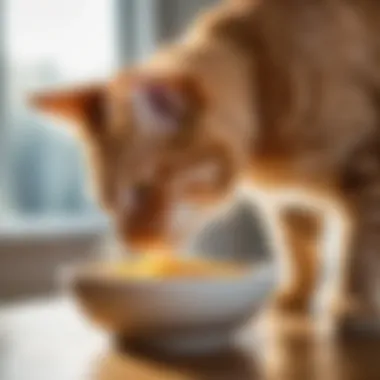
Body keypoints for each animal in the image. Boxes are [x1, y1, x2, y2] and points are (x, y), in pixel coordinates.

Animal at [30, 0, 380, 332]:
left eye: (142, 189)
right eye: (107, 202)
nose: (132, 242)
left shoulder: (367, 172)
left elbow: (357, 251)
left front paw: (354, 305)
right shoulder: (287, 200)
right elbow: (299, 249)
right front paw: (295, 296)